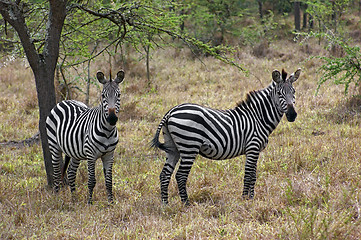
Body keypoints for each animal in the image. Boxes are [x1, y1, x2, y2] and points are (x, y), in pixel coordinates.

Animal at [45, 70, 124, 203]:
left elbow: (109, 182)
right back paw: (56, 198)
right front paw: (89, 203)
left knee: (71, 172)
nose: (112, 119)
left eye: (118, 95)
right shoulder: (91, 155)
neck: (107, 131)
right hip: (54, 146)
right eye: (103, 96)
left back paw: (74, 199)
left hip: (74, 151)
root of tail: (64, 101)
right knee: (56, 174)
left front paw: (111, 203)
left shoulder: (109, 155)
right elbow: (91, 181)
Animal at [152, 67, 300, 204]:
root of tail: (171, 111)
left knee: (165, 174)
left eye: (293, 92)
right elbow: (248, 174)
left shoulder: (256, 150)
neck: (258, 118)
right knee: (181, 175)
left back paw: (165, 204)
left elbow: (253, 175)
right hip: (189, 146)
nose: (292, 115)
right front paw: (244, 199)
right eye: (279, 93)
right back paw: (186, 204)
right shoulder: (252, 147)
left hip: (173, 147)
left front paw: (251, 198)